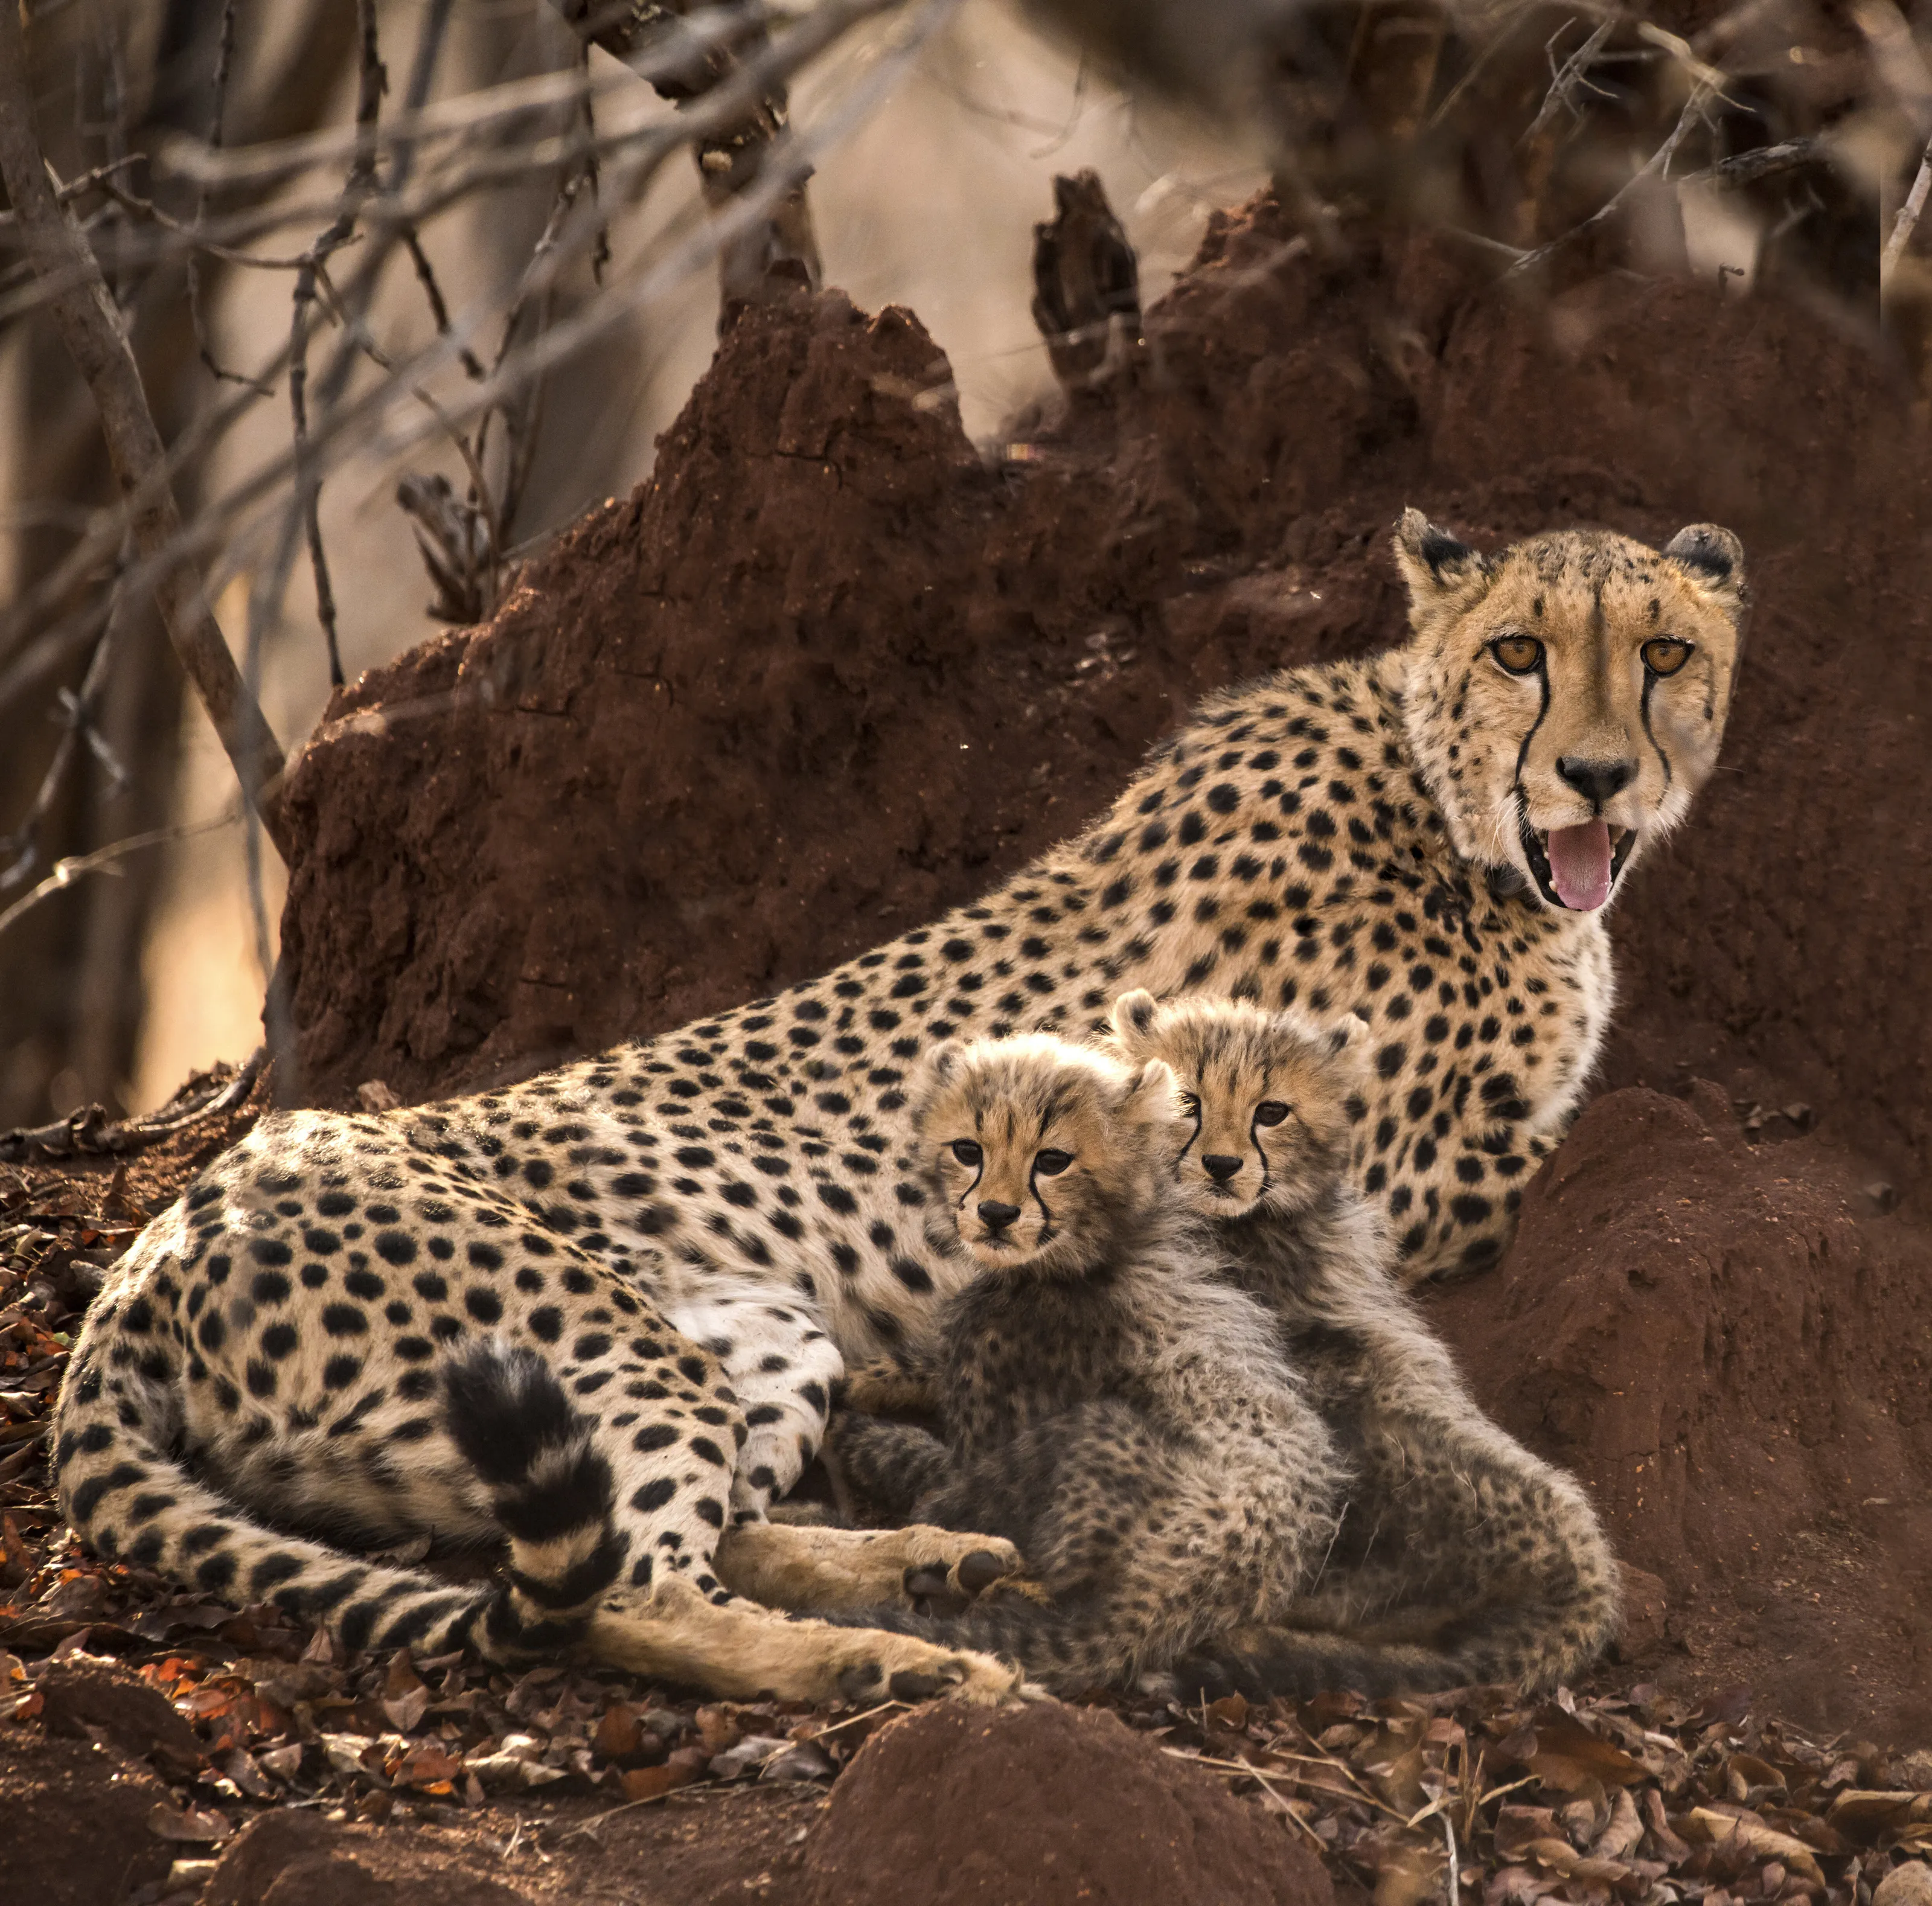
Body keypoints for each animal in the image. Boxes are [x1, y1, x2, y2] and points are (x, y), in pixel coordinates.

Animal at [823, 1032, 1348, 1693]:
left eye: (1052, 1161)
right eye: (968, 1150)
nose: (996, 1214)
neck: (1099, 1249)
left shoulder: (982, 1435)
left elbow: (931, 1473)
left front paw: (862, 1426)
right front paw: (871, 1377)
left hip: (1090, 1438)